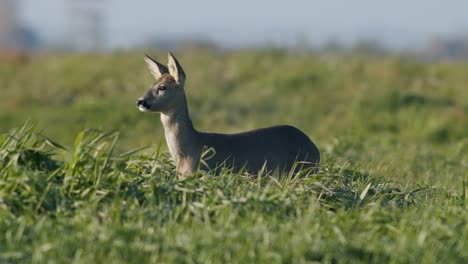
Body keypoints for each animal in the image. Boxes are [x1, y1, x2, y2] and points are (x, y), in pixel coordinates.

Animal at [135, 52, 318, 178]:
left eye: (163, 87)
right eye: (151, 84)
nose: (140, 101)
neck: (191, 150)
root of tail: (315, 148)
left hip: (304, 170)